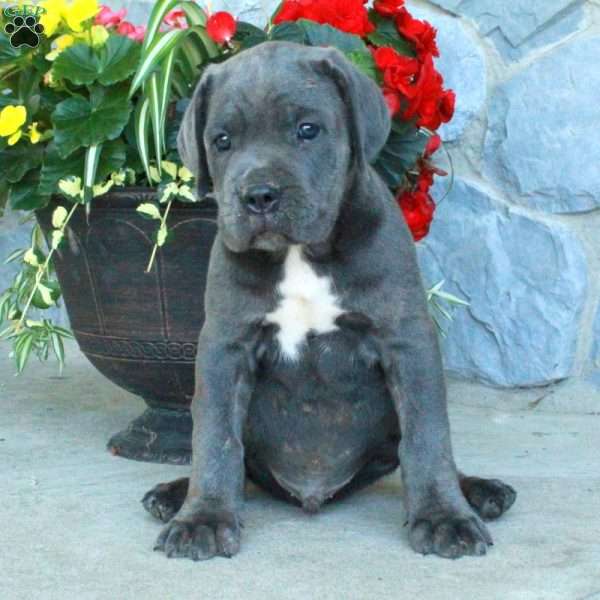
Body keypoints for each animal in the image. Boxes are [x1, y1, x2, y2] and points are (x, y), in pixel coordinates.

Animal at [142, 43, 516, 564]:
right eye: (222, 140)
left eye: (307, 130)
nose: (259, 195)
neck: (302, 253)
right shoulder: (225, 346)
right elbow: (215, 438)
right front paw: (204, 517)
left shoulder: (406, 339)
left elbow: (427, 436)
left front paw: (444, 516)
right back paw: (174, 494)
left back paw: (478, 491)